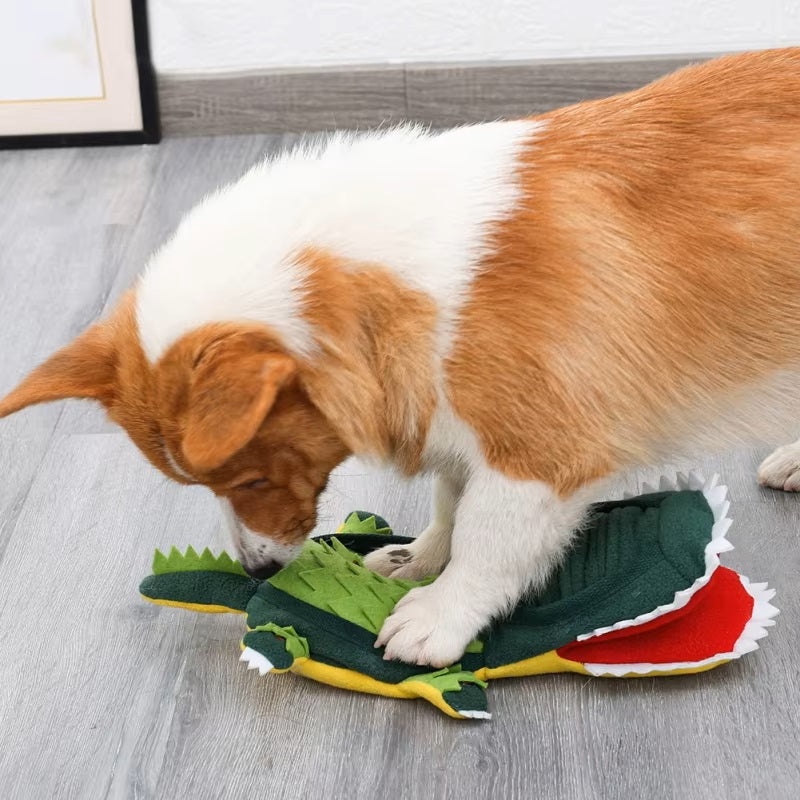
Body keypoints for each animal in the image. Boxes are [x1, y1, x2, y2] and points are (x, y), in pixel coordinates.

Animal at [1, 47, 800, 664]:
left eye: (250, 477)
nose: (257, 571)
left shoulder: (537, 458)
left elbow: (485, 541)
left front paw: (437, 617)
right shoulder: (451, 420)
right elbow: (449, 503)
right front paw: (417, 562)